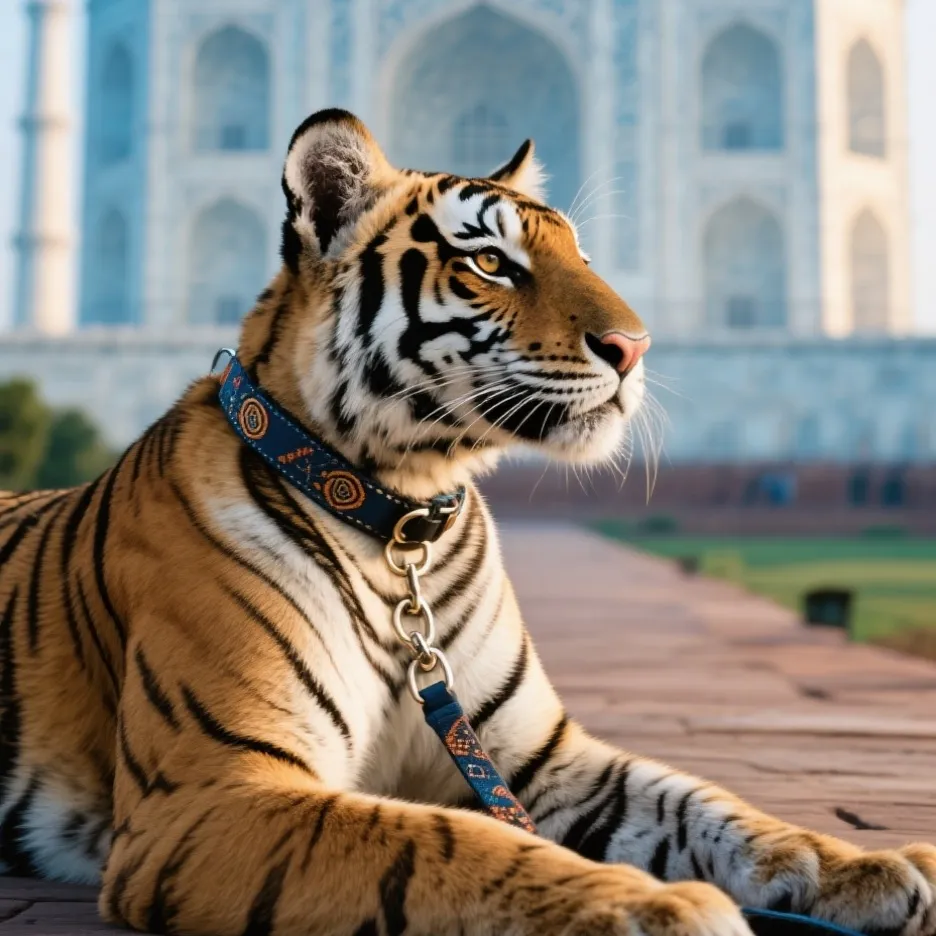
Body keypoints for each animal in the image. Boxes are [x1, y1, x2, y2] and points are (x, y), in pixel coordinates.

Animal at [1, 108, 934, 936]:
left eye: (583, 257)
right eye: (490, 261)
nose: (636, 347)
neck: (403, 516)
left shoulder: (542, 758)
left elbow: (710, 805)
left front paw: (870, 864)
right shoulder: (212, 792)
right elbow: (448, 841)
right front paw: (658, 906)